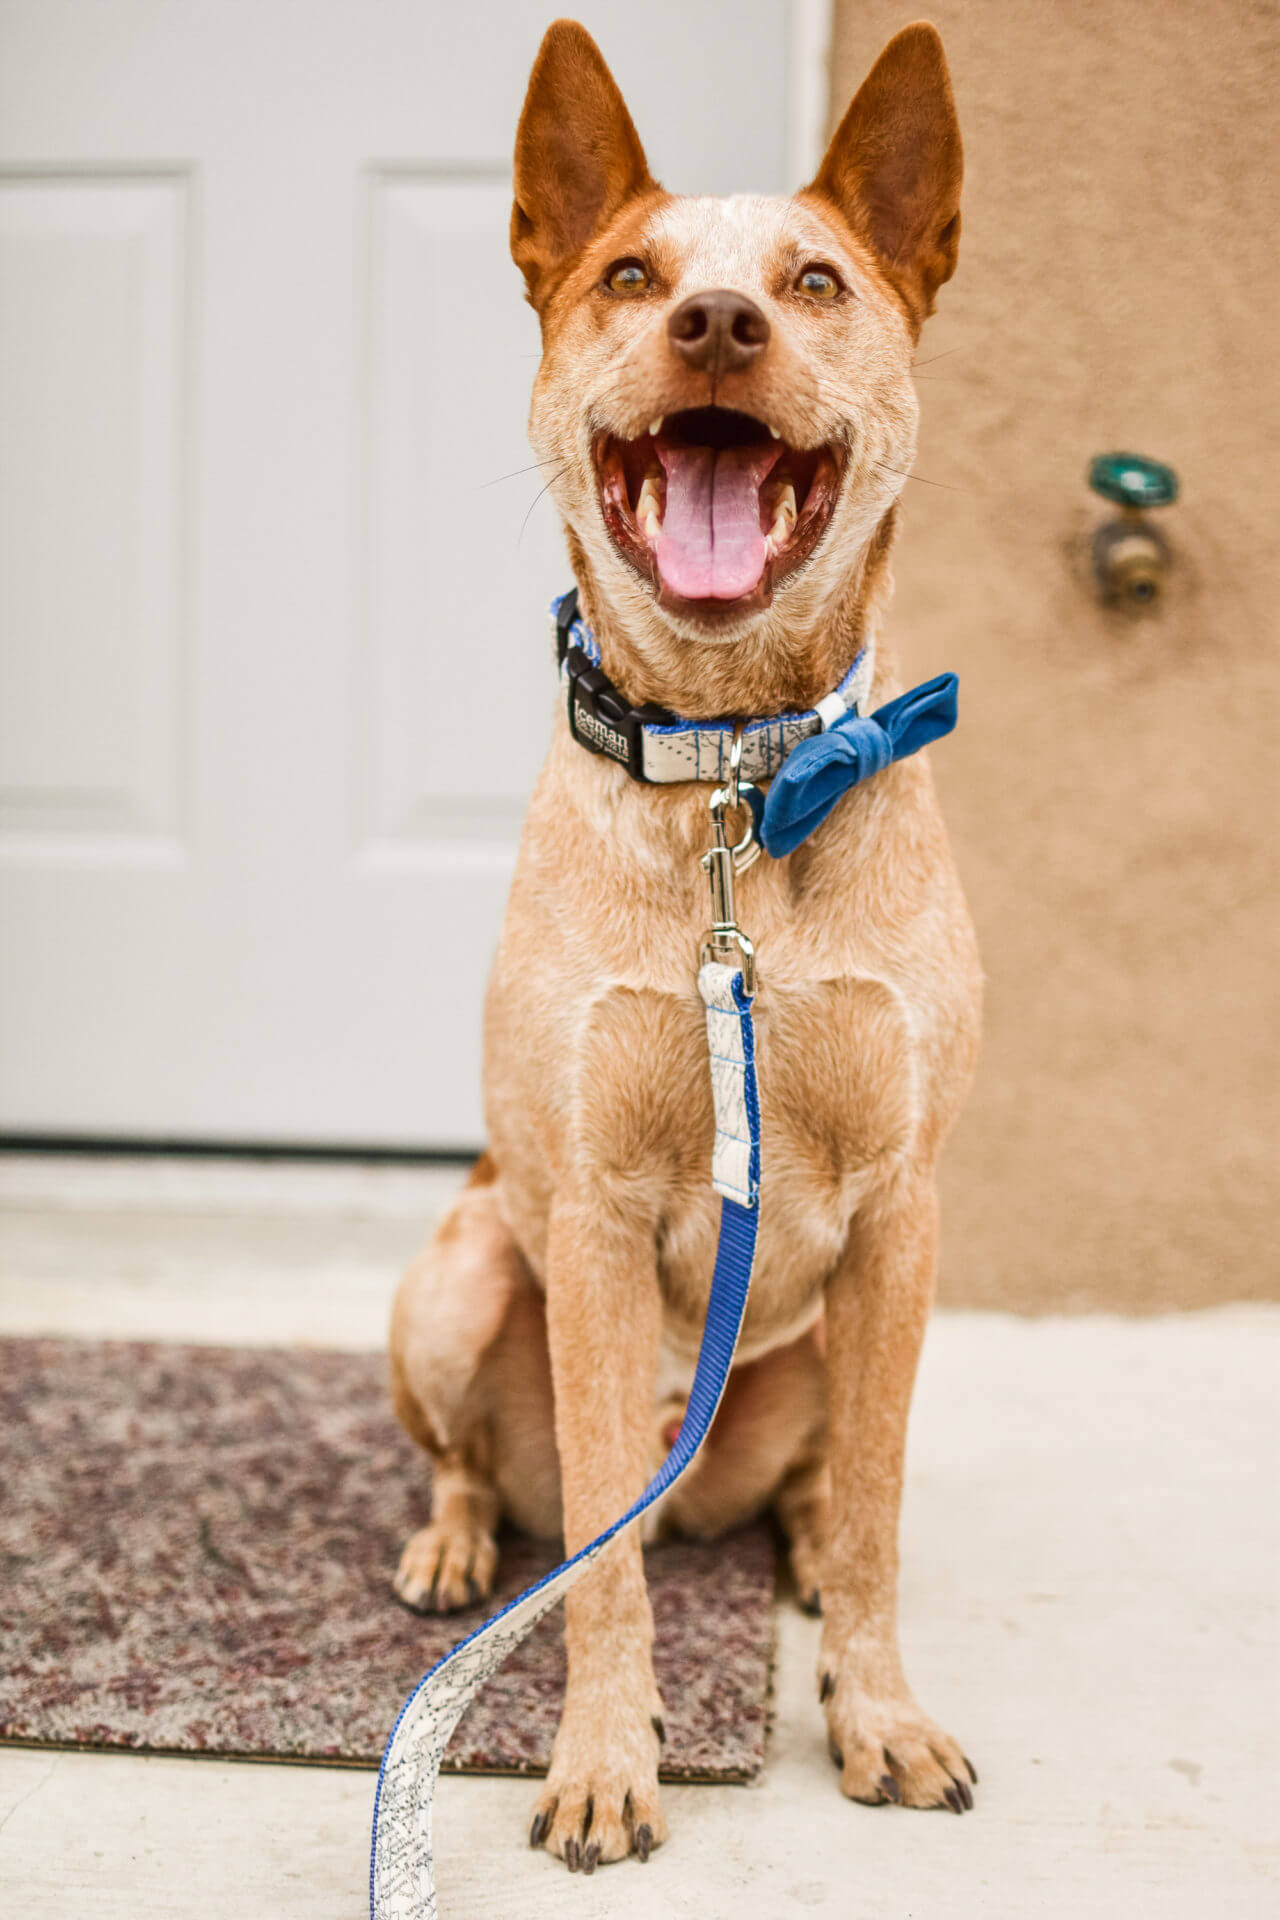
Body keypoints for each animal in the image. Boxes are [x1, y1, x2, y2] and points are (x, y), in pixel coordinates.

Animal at [387, 15, 982, 1873]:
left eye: (816, 280)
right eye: (633, 276)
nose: (718, 323)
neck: (734, 777)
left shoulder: (905, 1217)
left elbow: (878, 1511)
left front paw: (876, 1713)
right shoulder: (581, 1222)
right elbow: (598, 1561)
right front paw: (602, 1756)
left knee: (812, 1490)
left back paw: (785, 1555)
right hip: (457, 1275)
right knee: (510, 1487)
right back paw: (454, 1545)